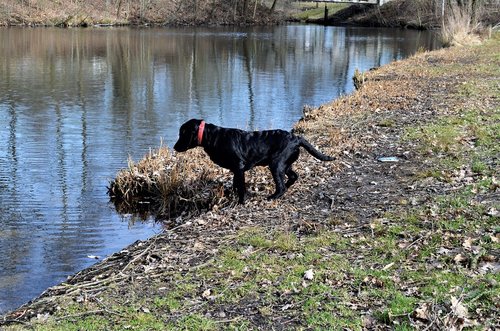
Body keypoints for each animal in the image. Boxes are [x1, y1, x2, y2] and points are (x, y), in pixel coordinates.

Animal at [174, 118, 334, 204]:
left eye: (182, 133)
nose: (174, 147)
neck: (212, 136)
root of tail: (296, 138)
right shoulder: (236, 170)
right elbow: (235, 185)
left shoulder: (239, 167)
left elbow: (241, 187)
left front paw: (241, 202)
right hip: (284, 164)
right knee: (293, 176)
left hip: (276, 164)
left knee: (281, 186)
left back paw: (273, 196)